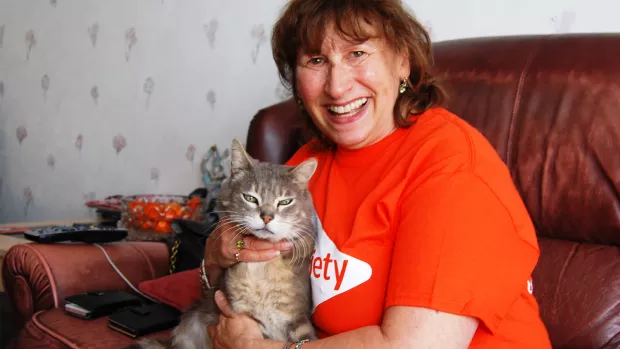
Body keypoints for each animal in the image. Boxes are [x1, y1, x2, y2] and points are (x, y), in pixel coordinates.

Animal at [128, 139, 318, 348]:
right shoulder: (243, 312)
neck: (261, 269)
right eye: (250, 198)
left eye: (285, 202)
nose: (267, 217)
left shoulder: (297, 319)